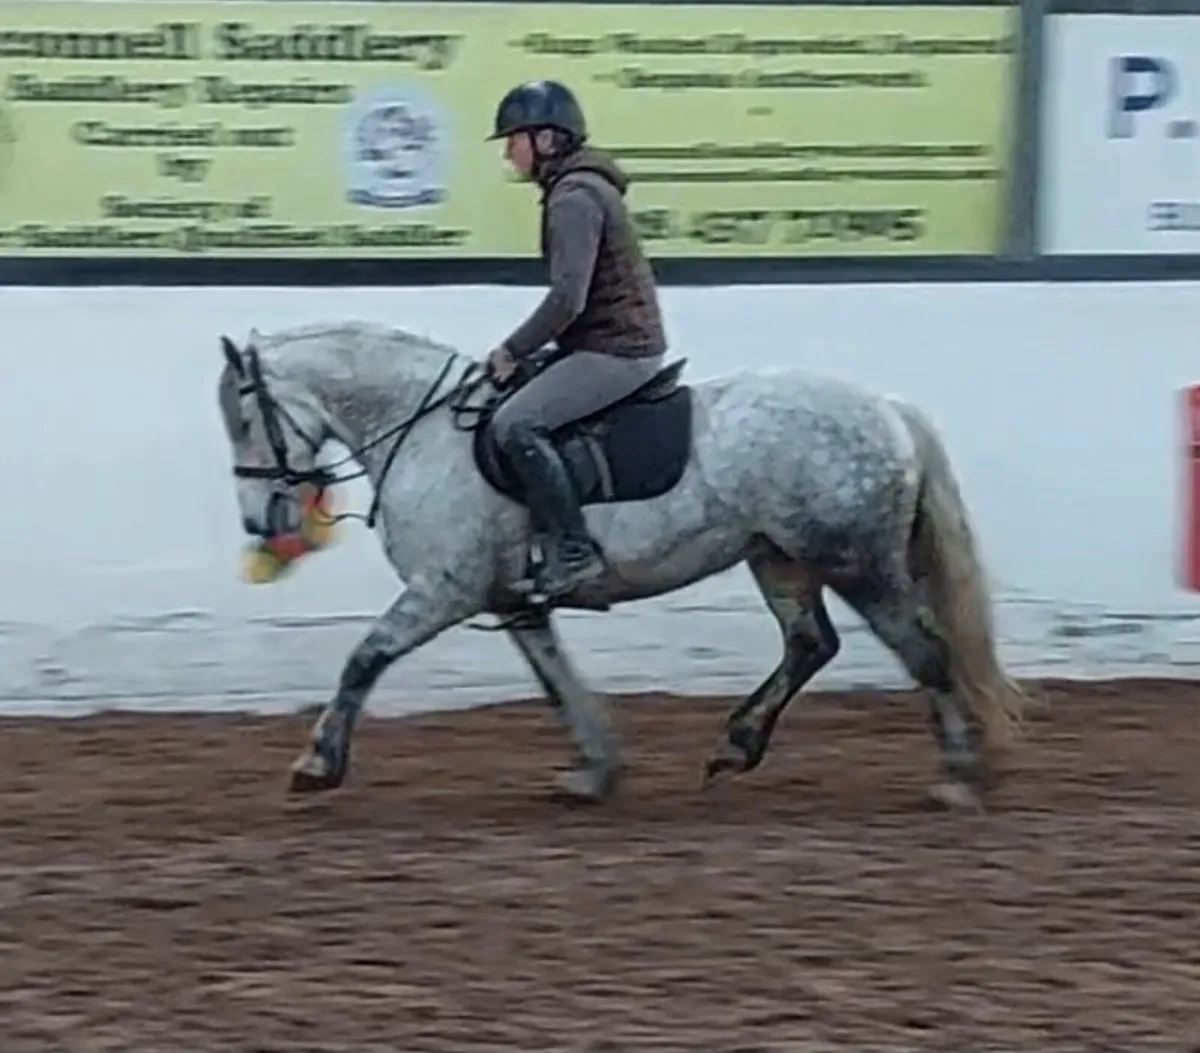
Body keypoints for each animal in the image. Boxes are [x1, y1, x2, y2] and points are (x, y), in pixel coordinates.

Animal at [216, 320, 1028, 810]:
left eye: (248, 418)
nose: (261, 522)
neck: (424, 431)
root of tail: (887, 408)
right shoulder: (512, 601)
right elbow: (556, 682)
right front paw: (594, 769)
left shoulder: (444, 590)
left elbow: (365, 657)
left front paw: (317, 764)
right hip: (780, 557)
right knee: (810, 644)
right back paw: (736, 746)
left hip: (855, 560)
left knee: (923, 651)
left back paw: (959, 778)